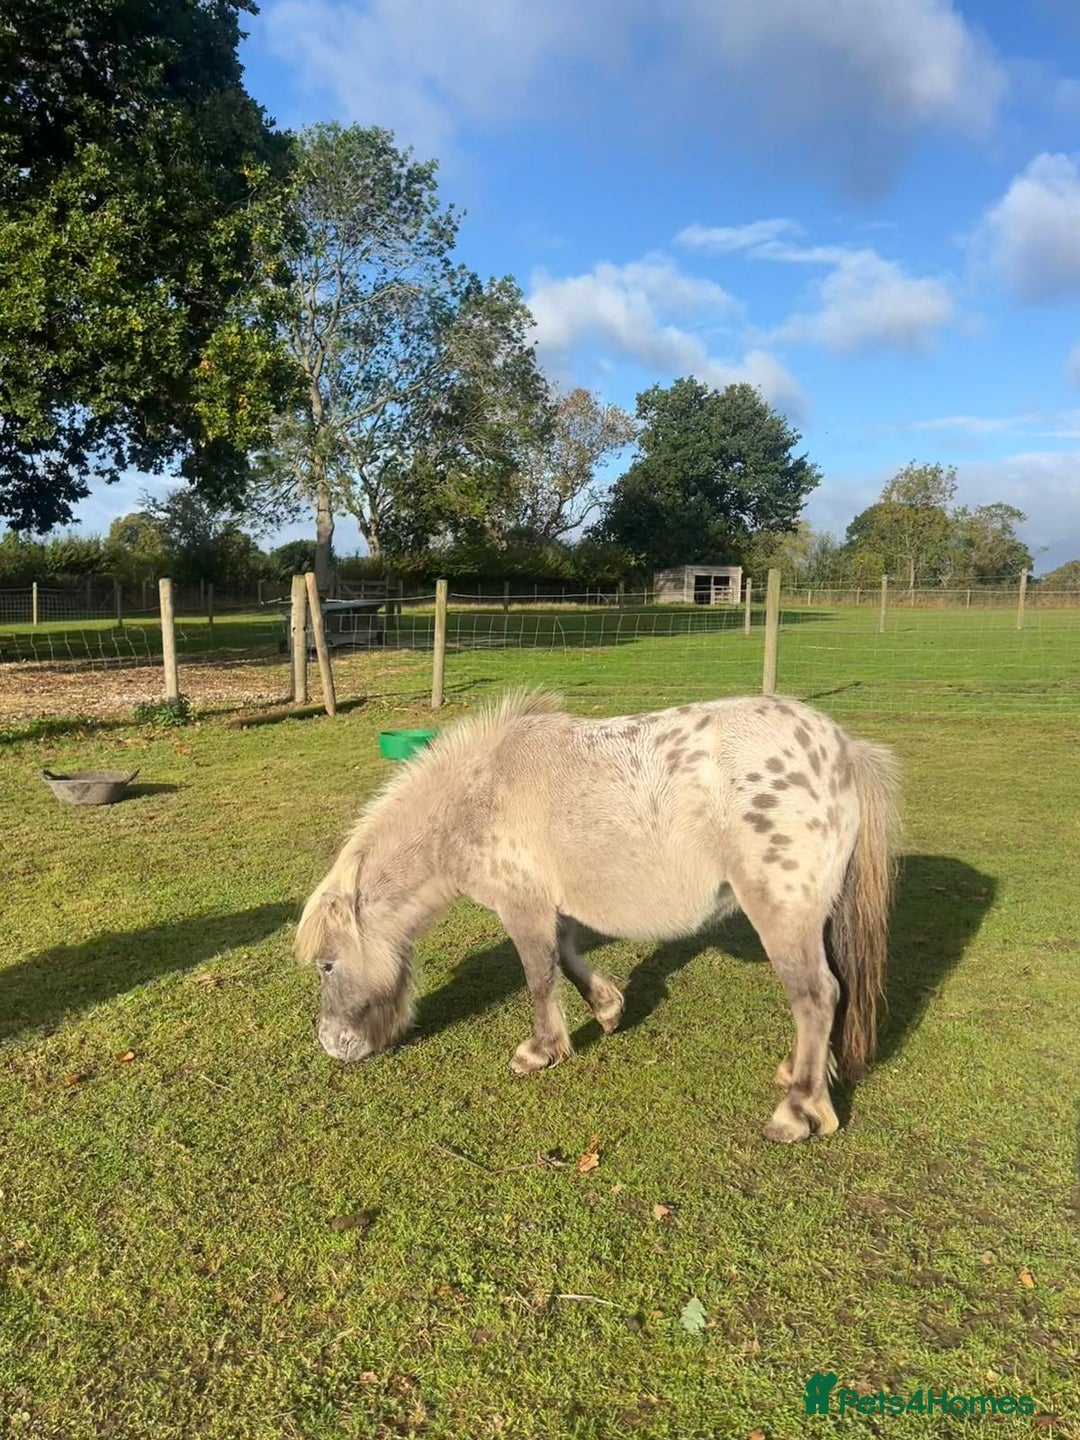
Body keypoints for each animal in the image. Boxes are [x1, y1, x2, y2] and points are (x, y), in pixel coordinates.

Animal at [296, 690, 897, 1142]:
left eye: (327, 964)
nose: (332, 1045)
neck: (478, 795)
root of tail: (842, 751)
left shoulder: (522, 906)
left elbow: (539, 977)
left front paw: (540, 1051)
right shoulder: (553, 905)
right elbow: (567, 956)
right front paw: (607, 1010)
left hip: (783, 913)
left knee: (816, 996)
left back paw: (798, 1110)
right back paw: (804, 1075)